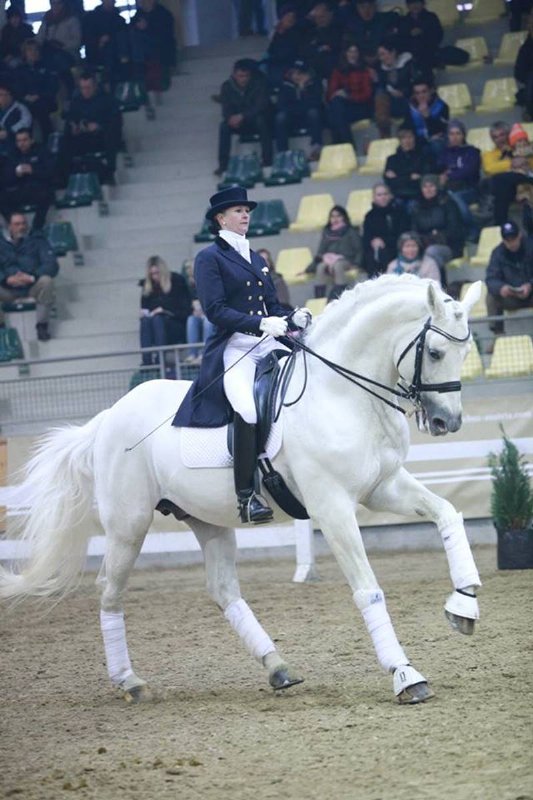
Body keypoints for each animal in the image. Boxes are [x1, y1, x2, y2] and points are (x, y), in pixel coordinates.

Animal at [0, 278, 482, 704]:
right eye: (435, 352)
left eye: (465, 352)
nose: (448, 422)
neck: (342, 393)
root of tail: (106, 417)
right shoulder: (332, 507)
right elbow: (368, 589)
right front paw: (405, 675)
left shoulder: (383, 487)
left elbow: (448, 513)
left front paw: (464, 604)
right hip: (128, 526)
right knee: (110, 591)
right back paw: (129, 681)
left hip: (207, 521)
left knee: (223, 590)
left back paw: (278, 667)